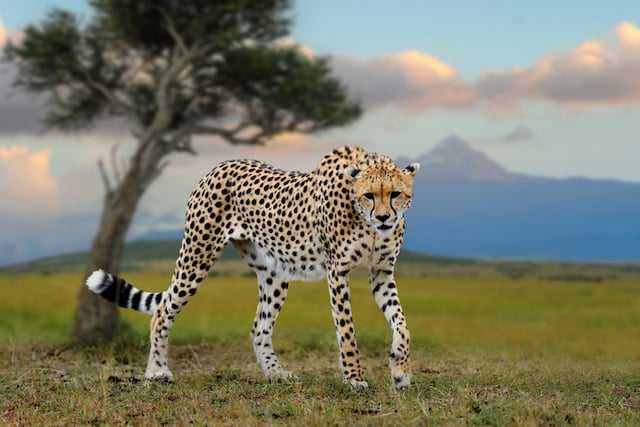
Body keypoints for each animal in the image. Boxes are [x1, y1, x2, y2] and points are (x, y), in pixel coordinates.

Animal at [86, 147, 420, 392]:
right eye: (369, 195)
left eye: (395, 194)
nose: (384, 218)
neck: (368, 224)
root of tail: (220, 164)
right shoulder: (338, 272)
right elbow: (347, 331)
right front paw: (354, 378)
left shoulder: (381, 272)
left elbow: (402, 323)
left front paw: (400, 371)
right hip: (197, 254)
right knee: (162, 310)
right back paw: (157, 371)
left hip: (274, 273)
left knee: (259, 326)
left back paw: (275, 373)